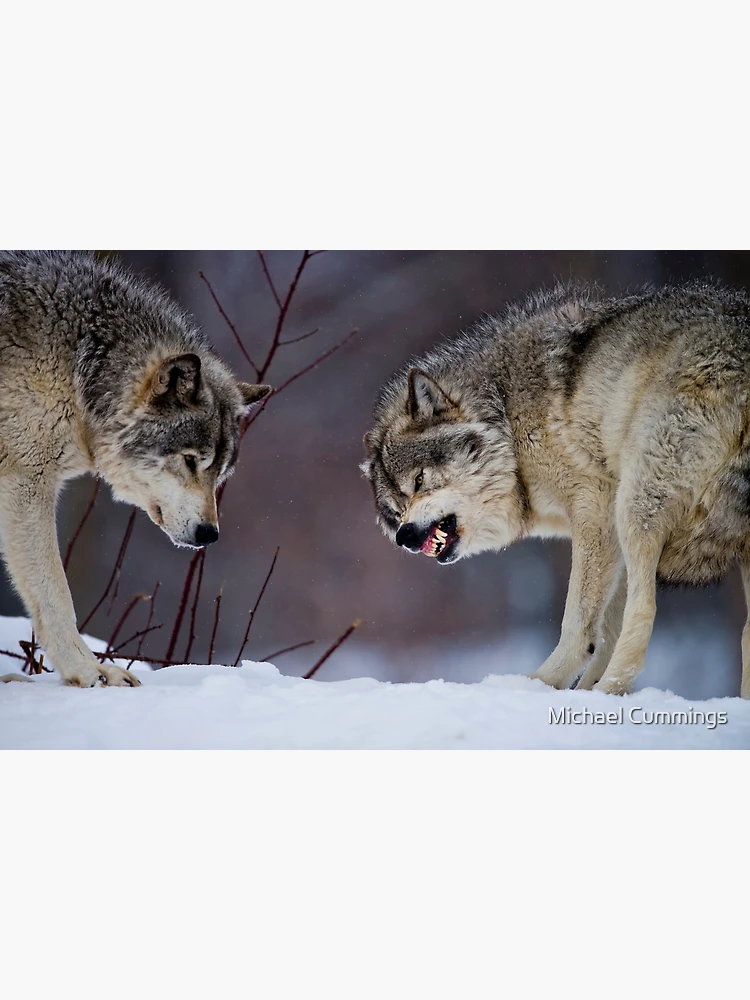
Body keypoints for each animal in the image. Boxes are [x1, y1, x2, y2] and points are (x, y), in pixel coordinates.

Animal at [0, 251, 270, 687]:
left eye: (221, 473)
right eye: (191, 461)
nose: (209, 535)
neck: (78, 363)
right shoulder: (27, 481)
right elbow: (55, 592)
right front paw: (88, 672)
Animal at [362, 281, 750, 698]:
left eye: (419, 481)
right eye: (396, 509)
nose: (404, 536)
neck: (506, 415)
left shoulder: (597, 507)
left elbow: (580, 622)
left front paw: (540, 686)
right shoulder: (608, 537)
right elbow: (605, 630)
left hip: (635, 508)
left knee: (645, 609)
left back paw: (606, 692)